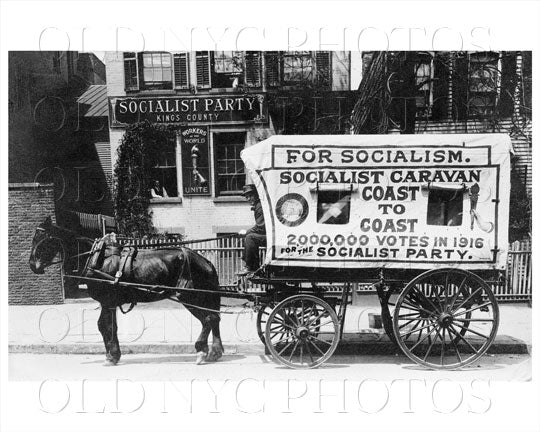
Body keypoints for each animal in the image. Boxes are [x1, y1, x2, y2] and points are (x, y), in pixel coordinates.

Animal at [29, 216, 224, 364]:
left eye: (42, 239)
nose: (32, 265)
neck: (95, 259)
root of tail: (204, 261)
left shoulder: (108, 301)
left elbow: (108, 326)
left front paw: (112, 355)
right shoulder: (107, 302)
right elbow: (103, 326)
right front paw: (112, 354)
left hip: (190, 296)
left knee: (208, 319)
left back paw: (201, 351)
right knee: (213, 319)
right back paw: (215, 351)